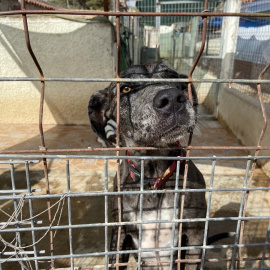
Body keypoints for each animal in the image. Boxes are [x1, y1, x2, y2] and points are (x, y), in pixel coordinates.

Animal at [88, 62, 207, 268]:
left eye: (175, 81)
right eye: (125, 89)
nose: (172, 98)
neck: (153, 176)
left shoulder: (195, 233)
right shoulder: (119, 233)